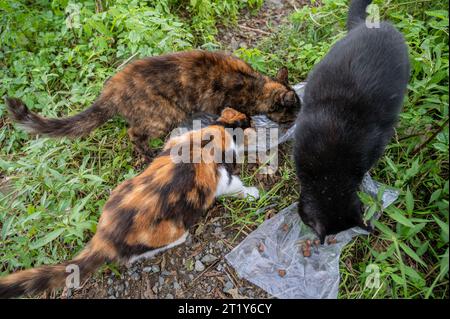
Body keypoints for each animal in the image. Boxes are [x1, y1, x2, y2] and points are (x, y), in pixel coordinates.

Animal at [0, 108, 258, 300]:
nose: (257, 124)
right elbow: (235, 185)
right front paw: (253, 193)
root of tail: (104, 237)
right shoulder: (221, 178)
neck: (216, 132)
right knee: (134, 256)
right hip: (168, 230)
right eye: (250, 121)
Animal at [5, 50, 300, 162]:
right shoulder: (229, 106)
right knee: (133, 133)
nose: (298, 121)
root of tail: (111, 90)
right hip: (165, 115)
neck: (258, 85)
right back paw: (148, 153)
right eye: (293, 114)